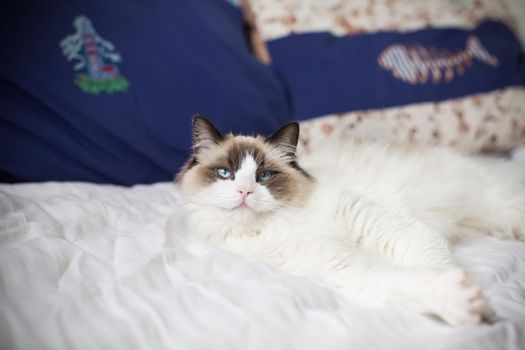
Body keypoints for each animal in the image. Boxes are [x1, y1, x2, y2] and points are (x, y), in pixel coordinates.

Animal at [172, 116, 524, 326]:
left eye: (265, 176)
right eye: (224, 173)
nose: (244, 191)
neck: (281, 225)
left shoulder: (383, 224)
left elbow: (434, 263)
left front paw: (482, 308)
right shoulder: (342, 268)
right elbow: (413, 282)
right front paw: (469, 305)